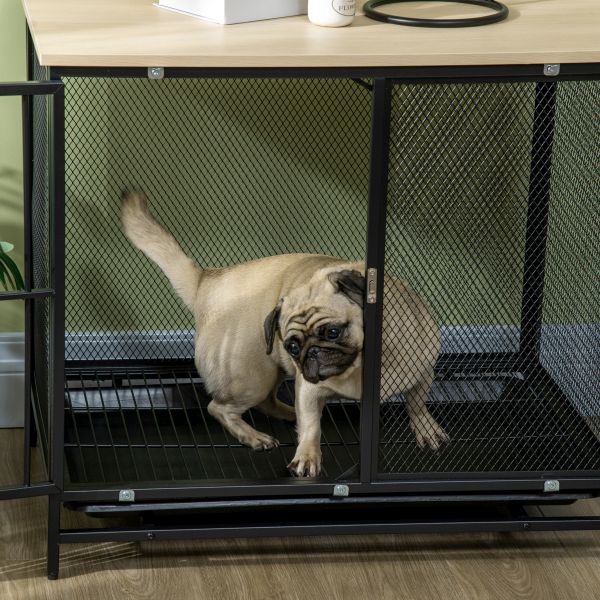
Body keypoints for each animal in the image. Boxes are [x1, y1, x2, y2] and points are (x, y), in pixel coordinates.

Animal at [121, 191, 449, 477]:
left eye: (333, 331)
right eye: (292, 345)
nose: (311, 353)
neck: (359, 367)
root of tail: (206, 284)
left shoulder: (422, 372)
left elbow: (416, 402)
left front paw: (426, 428)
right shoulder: (309, 388)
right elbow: (312, 428)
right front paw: (307, 457)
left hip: (269, 372)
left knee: (268, 402)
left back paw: (289, 416)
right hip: (252, 378)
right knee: (220, 407)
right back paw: (255, 436)